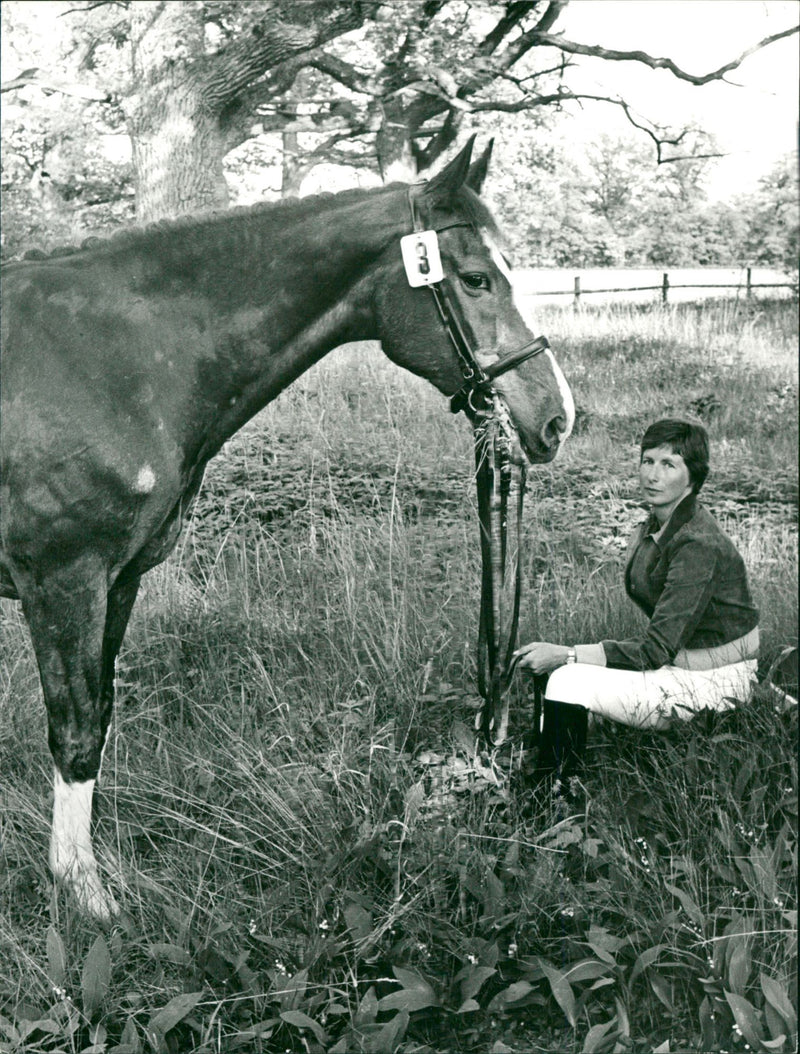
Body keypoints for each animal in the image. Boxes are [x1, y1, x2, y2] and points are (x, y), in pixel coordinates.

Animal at [1, 135, 577, 919]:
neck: (110, 357)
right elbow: (76, 728)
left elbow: (102, 713)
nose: (556, 418)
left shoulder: (117, 583)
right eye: (476, 278)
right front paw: (83, 891)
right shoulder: (63, 582)